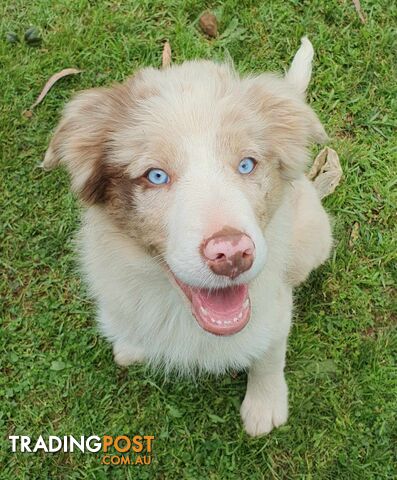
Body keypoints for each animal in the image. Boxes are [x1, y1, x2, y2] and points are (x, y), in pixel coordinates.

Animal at [44, 37, 332, 436]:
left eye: (246, 164)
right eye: (156, 176)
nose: (232, 254)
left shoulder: (275, 307)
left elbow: (270, 354)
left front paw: (265, 405)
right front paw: (131, 344)